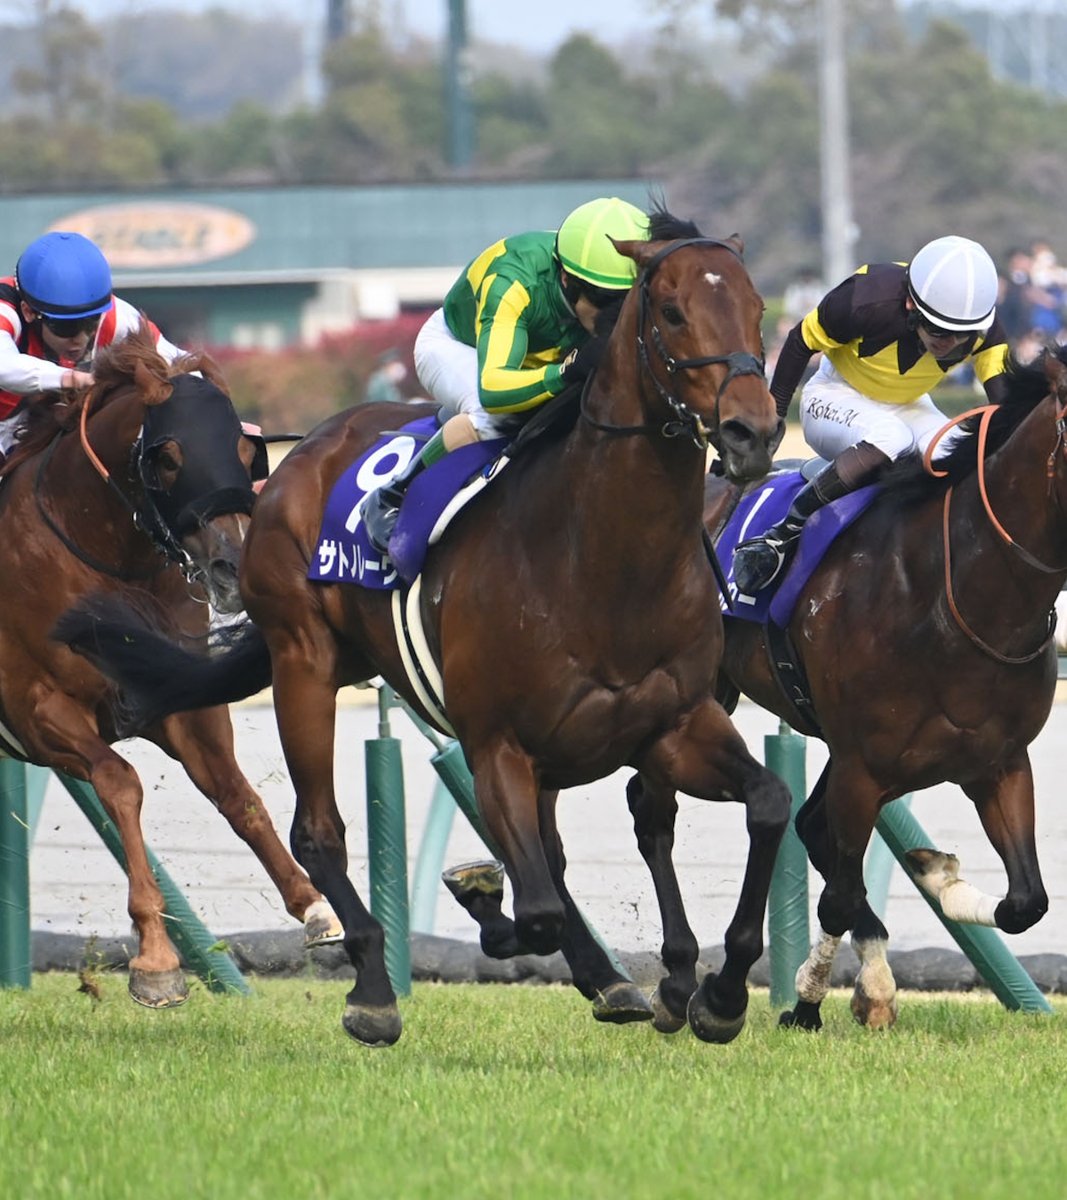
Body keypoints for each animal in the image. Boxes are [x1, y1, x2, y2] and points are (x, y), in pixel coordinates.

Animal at [0, 325, 339, 1009]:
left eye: (247, 449)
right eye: (168, 458)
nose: (234, 566)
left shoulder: (180, 699)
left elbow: (239, 797)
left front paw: (313, 904)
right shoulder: (35, 708)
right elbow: (120, 782)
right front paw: (156, 960)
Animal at [56, 208, 793, 1047]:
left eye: (757, 308)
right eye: (670, 312)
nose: (752, 432)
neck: (600, 558)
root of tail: (301, 452)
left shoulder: (674, 722)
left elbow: (766, 802)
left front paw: (715, 993)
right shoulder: (495, 742)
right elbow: (536, 907)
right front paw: (482, 899)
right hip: (304, 660)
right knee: (317, 830)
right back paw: (373, 991)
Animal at [622, 346, 1067, 1033]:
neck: (955, 594)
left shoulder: (999, 763)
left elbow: (1027, 902)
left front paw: (937, 880)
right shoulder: (864, 766)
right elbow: (835, 895)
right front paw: (806, 1002)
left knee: (806, 827)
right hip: (691, 699)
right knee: (654, 813)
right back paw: (678, 984)